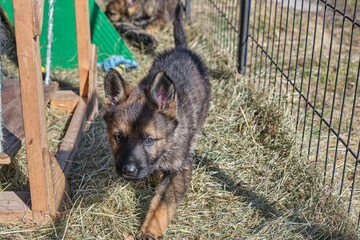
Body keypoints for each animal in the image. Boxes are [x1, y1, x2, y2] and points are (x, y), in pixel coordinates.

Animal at [103, 1, 211, 238]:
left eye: (149, 140)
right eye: (118, 137)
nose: (128, 171)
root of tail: (182, 49)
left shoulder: (181, 169)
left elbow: (162, 205)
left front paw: (150, 231)